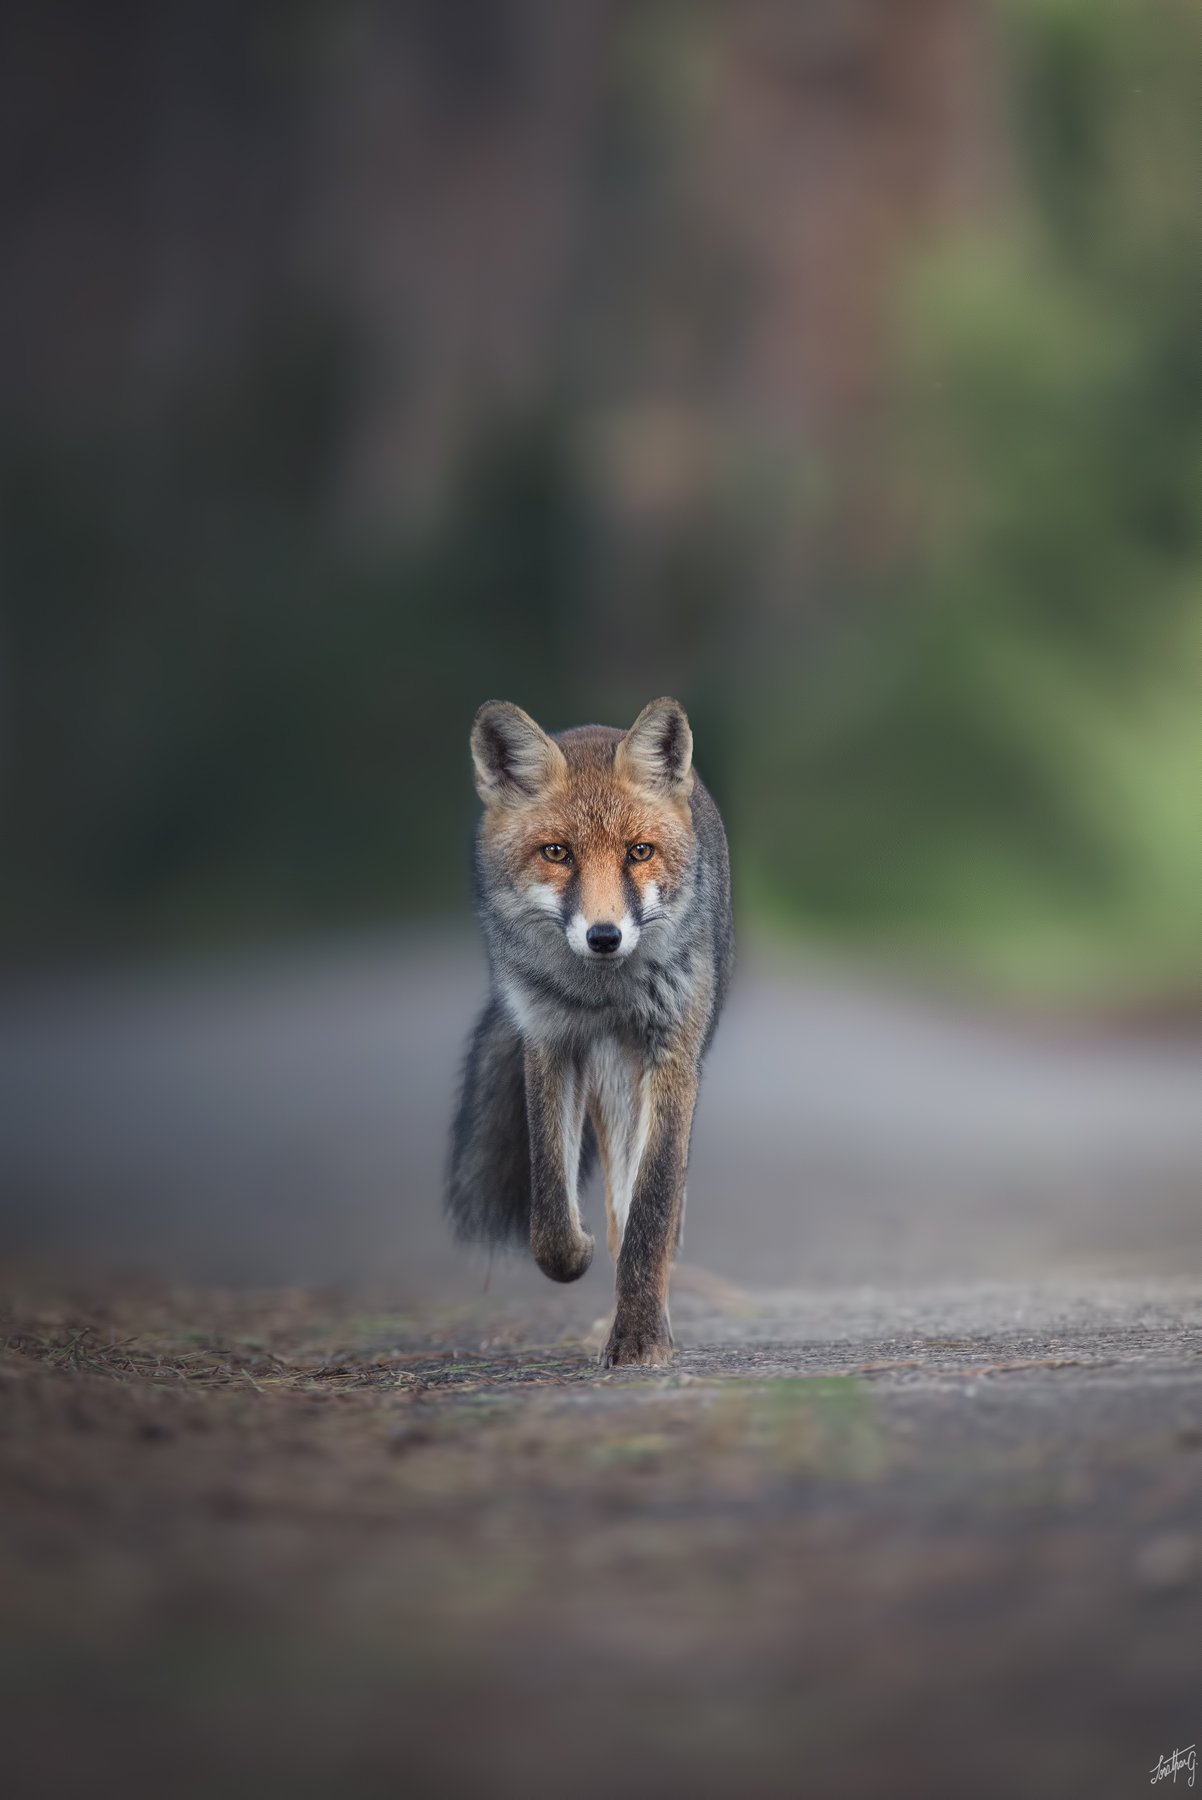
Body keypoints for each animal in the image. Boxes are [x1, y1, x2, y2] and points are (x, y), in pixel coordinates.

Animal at [446, 695, 733, 1367]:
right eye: (557, 853)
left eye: (639, 852)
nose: (605, 936)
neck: (601, 997)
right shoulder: (551, 1041)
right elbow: (549, 1207)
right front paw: (573, 1254)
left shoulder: (670, 1056)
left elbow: (651, 1211)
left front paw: (639, 1337)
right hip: (606, 1078)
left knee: (644, 1208)